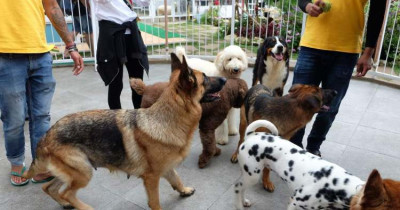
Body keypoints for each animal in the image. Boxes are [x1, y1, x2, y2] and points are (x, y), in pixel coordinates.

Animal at [23, 53, 227, 210]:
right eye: (205, 78)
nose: (225, 79)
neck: (166, 118)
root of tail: (46, 136)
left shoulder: (167, 168)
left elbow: (176, 179)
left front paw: (184, 190)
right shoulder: (152, 178)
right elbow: (155, 202)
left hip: (73, 171)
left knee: (49, 188)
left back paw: (64, 203)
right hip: (83, 172)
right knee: (67, 193)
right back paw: (82, 207)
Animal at [234, 120, 366, 210]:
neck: (336, 185)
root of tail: (252, 134)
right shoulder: (295, 202)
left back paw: (244, 202)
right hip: (252, 176)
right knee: (237, 187)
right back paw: (239, 206)